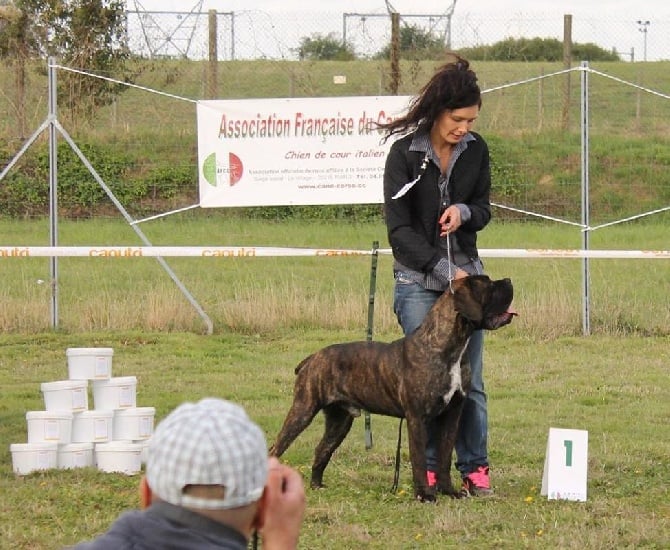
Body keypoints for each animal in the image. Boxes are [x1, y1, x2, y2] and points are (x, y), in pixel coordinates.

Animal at [270, 276, 516, 504]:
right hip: (303, 411)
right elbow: (419, 459)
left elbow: (444, 457)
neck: (449, 346)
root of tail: (313, 357)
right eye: (488, 285)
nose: (508, 280)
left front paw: (449, 492)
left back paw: (317, 486)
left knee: (322, 450)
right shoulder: (417, 418)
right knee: (276, 448)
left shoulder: (451, 415)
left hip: (339, 422)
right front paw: (425, 495)